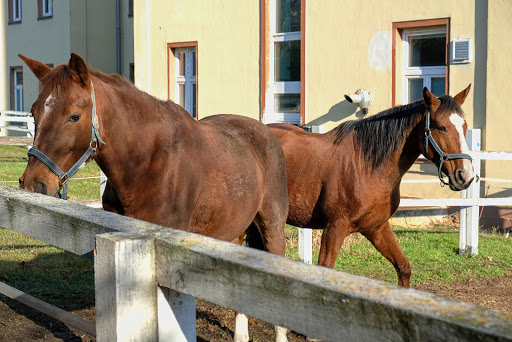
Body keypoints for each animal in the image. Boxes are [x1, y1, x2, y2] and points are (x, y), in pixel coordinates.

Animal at [18, 53, 290, 342]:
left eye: (74, 116)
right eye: (34, 113)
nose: (33, 183)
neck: (147, 160)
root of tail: (267, 132)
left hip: (272, 225)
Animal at [270, 85, 474, 286]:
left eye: (465, 127)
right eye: (441, 127)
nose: (466, 176)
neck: (366, 166)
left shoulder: (377, 227)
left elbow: (403, 267)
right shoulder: (334, 228)